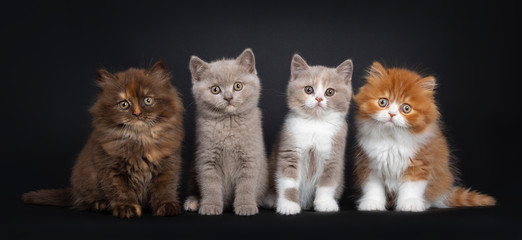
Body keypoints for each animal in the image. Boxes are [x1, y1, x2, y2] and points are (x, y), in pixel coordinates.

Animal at [22, 61, 185, 218]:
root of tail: (72, 191)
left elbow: (164, 189)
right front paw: (127, 208)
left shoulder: (168, 166)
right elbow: (121, 191)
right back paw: (99, 204)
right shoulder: (111, 168)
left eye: (148, 100)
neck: (140, 139)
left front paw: (167, 206)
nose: (137, 114)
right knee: (84, 201)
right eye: (124, 104)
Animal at [182, 48, 266, 216]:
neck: (228, 123)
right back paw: (193, 202)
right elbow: (210, 185)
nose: (228, 97)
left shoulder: (250, 157)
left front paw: (245, 206)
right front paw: (210, 205)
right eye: (215, 89)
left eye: (238, 86)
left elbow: (246, 185)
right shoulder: (206, 158)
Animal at [264, 54, 354, 216]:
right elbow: (288, 181)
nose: (318, 99)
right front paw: (288, 205)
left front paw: (325, 203)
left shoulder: (333, 156)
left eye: (330, 92)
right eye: (308, 89)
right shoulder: (290, 149)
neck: (315, 124)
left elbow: (327, 182)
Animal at [352, 62, 494, 212]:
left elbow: (411, 187)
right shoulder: (368, 164)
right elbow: (372, 187)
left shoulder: (420, 164)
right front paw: (372, 203)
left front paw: (410, 204)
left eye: (406, 108)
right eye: (383, 102)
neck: (392, 139)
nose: (392, 114)